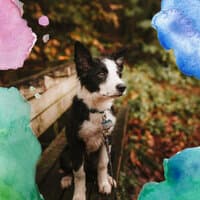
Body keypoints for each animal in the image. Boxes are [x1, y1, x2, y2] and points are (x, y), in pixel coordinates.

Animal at [60, 41, 126, 199]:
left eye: (118, 74)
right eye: (101, 74)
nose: (123, 87)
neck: (97, 109)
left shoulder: (107, 138)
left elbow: (102, 164)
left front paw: (104, 184)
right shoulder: (76, 144)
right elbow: (79, 173)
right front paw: (79, 195)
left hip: (113, 149)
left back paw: (109, 178)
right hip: (65, 154)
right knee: (70, 169)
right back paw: (66, 179)